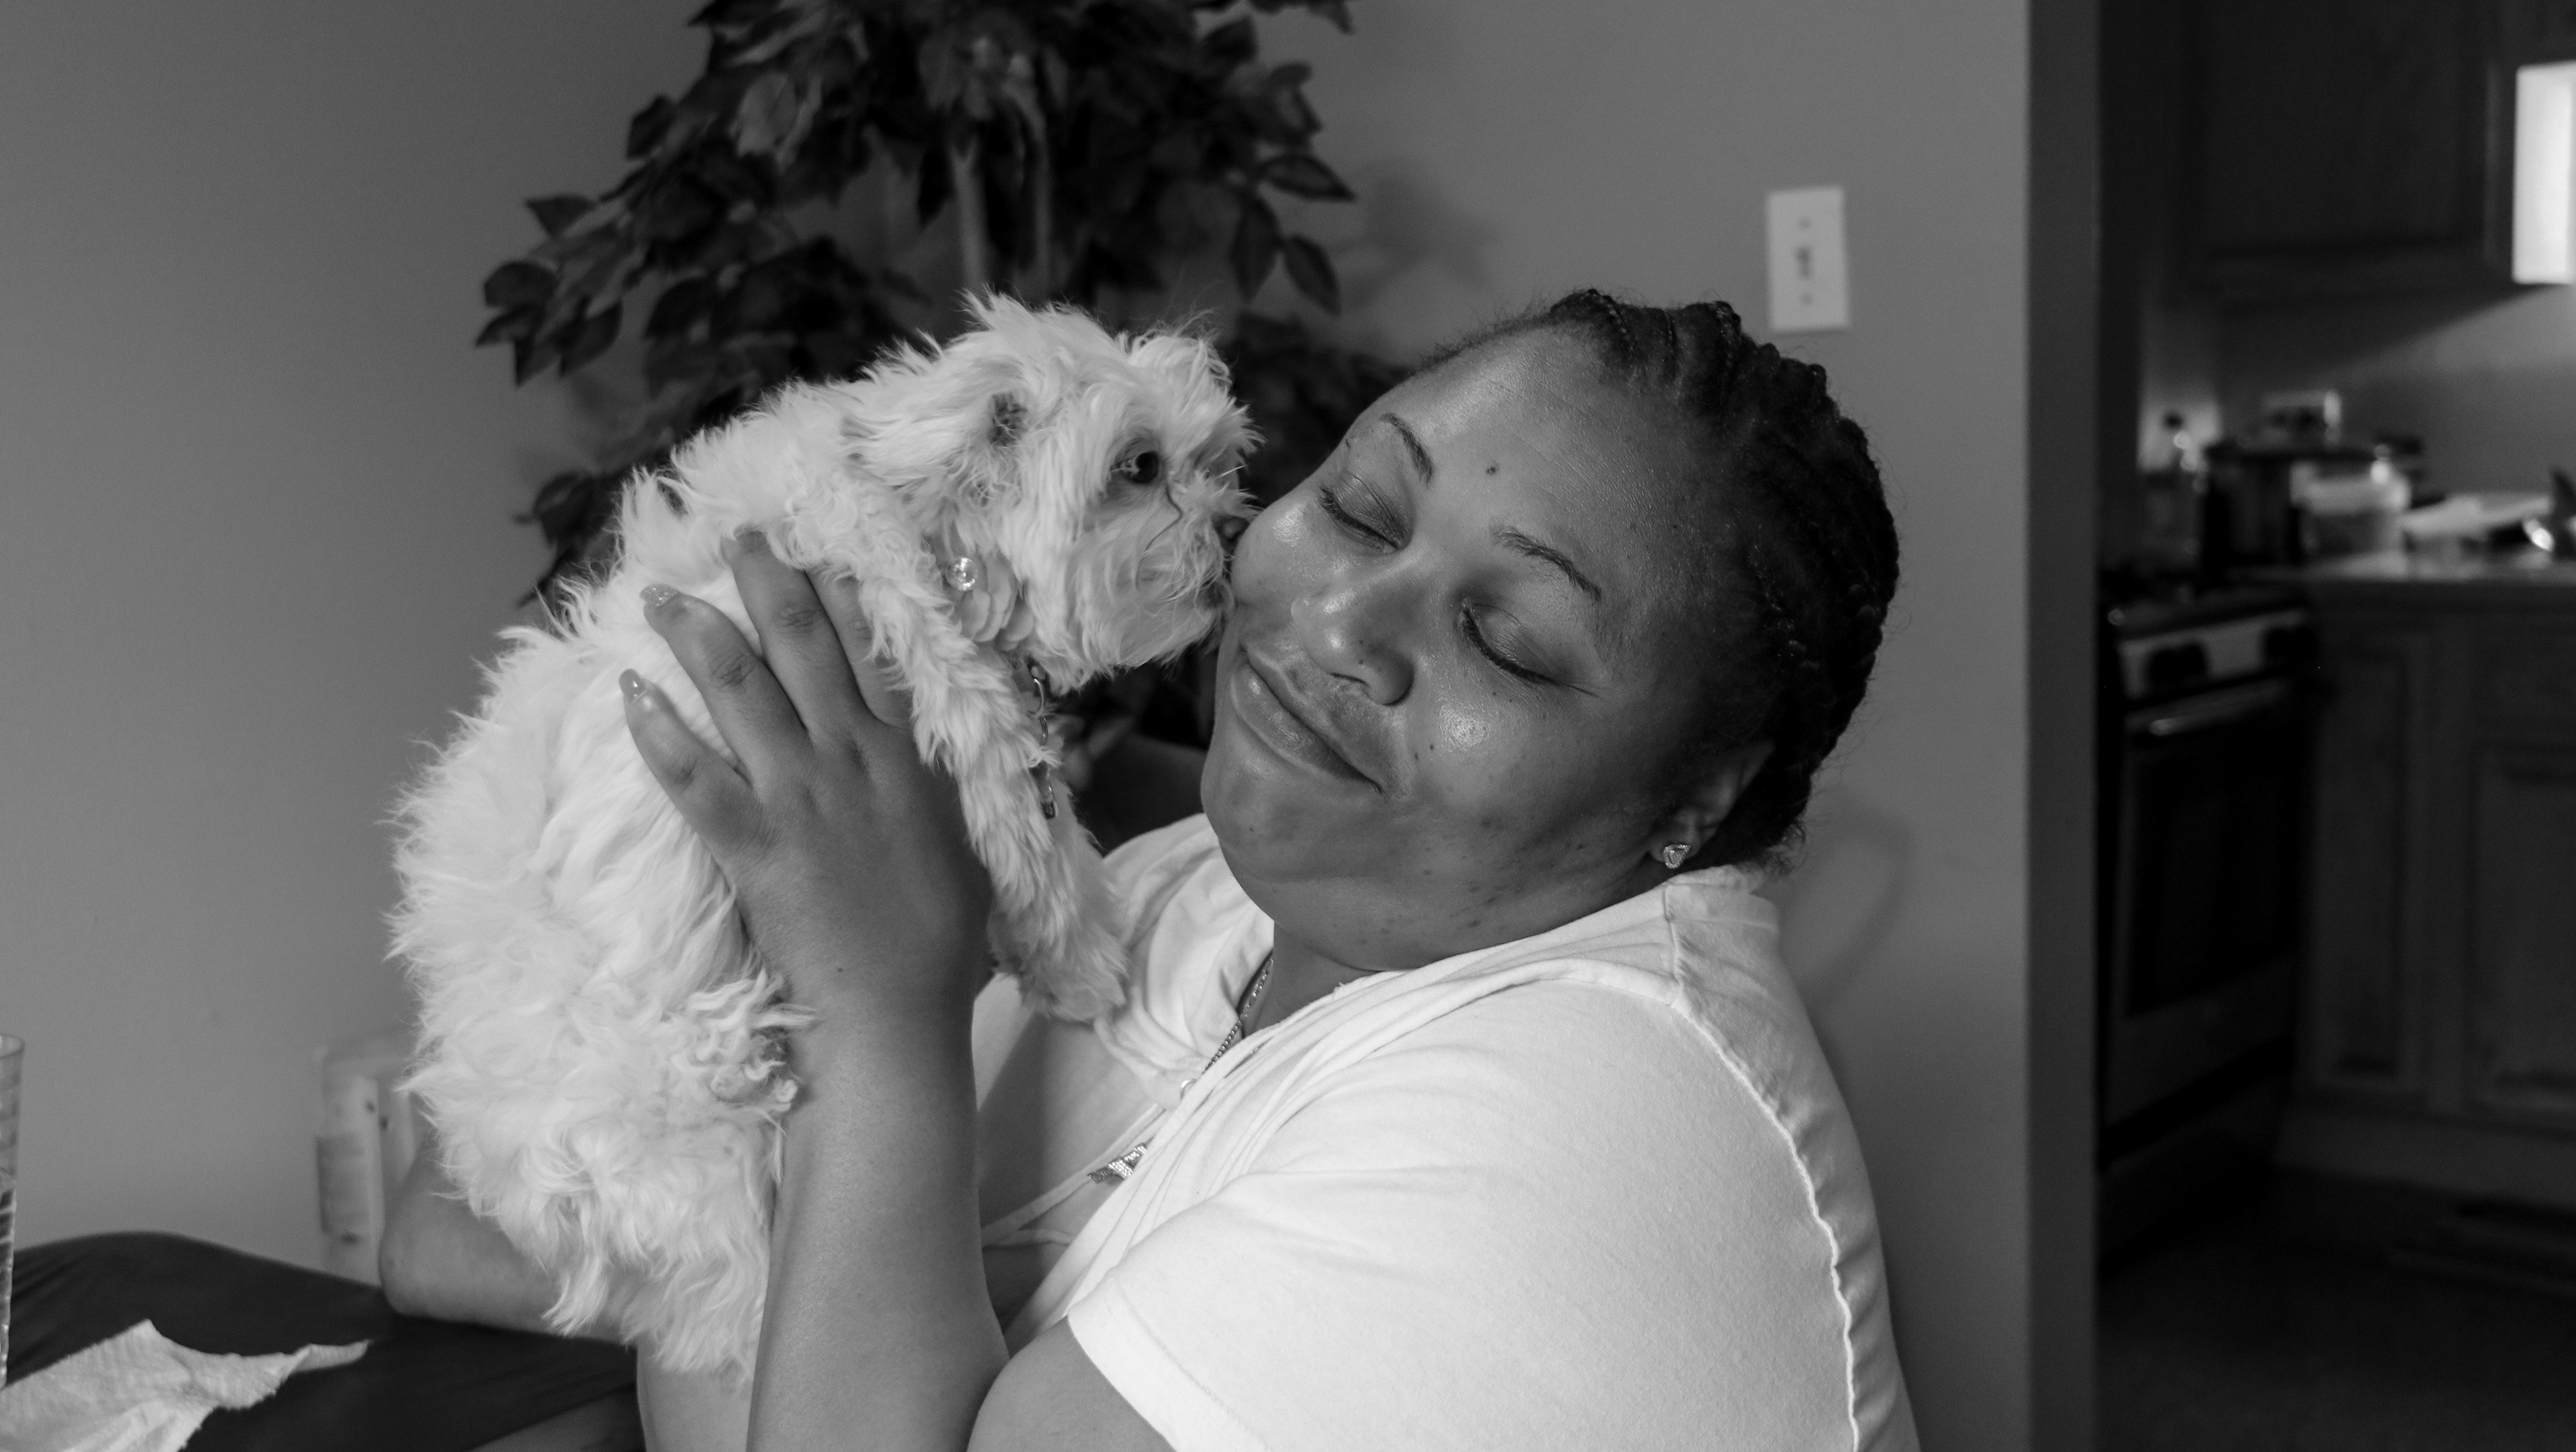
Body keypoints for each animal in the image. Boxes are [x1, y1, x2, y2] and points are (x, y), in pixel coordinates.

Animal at [391, 297, 1256, 1380]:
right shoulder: (951, 699)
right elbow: (1038, 842)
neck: (921, 511)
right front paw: (1086, 967)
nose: (1236, 525)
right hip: (708, 1103)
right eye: (1140, 468)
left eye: (1218, 457)